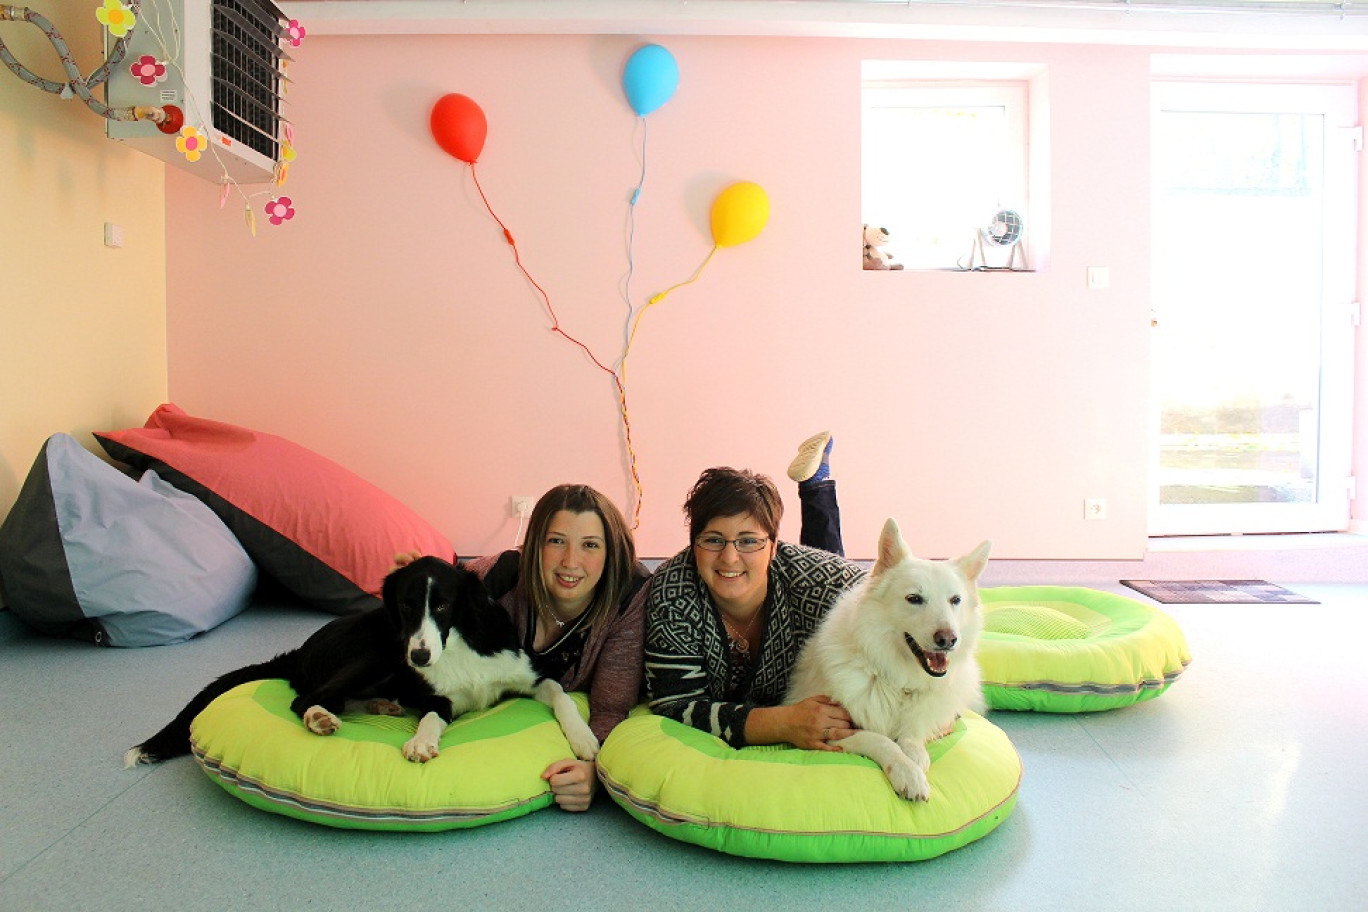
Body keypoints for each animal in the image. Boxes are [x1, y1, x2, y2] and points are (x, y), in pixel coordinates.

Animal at [125, 557, 596, 771]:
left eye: (444, 605)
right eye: (405, 606)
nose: (418, 656)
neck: (457, 643)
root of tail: (298, 651)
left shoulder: (530, 674)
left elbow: (562, 696)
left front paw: (584, 739)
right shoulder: (437, 697)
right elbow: (431, 715)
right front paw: (421, 741)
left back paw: (381, 705)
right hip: (375, 649)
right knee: (305, 699)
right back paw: (320, 718)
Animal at [787, 519, 990, 803]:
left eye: (955, 600)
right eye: (914, 598)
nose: (948, 639)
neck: (899, 682)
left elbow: (912, 737)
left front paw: (916, 757)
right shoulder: (833, 732)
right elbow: (878, 740)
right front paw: (908, 773)